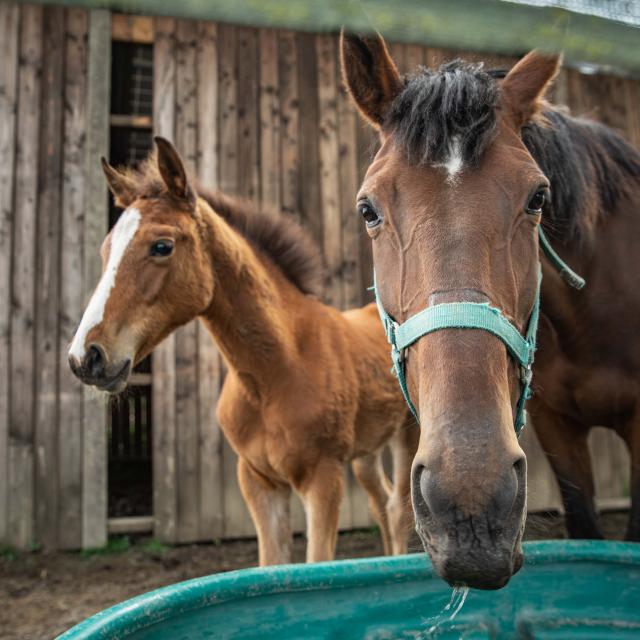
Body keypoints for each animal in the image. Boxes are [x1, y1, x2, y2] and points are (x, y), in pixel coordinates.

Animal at [66, 136, 416, 564]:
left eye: (161, 246)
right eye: (105, 250)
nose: (86, 357)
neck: (273, 373)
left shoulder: (323, 478)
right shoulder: (257, 481)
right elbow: (272, 565)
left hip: (407, 435)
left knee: (399, 510)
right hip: (367, 449)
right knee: (381, 503)